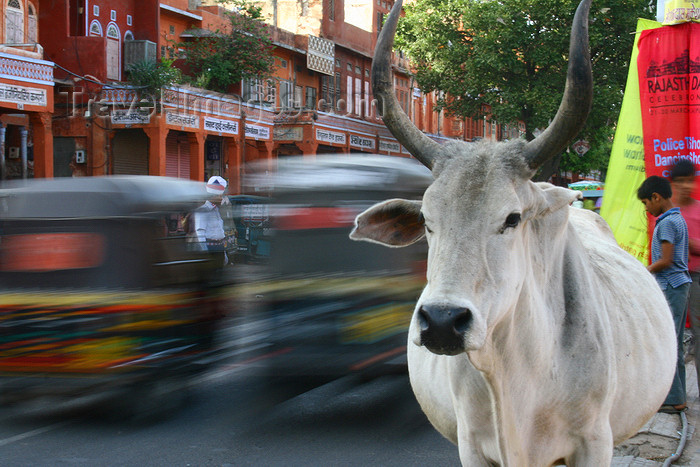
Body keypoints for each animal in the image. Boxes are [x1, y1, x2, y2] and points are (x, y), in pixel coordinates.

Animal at [350, 1, 680, 466]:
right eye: (428, 220)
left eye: (512, 218)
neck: (513, 374)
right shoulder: (472, 442)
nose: (443, 322)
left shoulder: (595, 442)